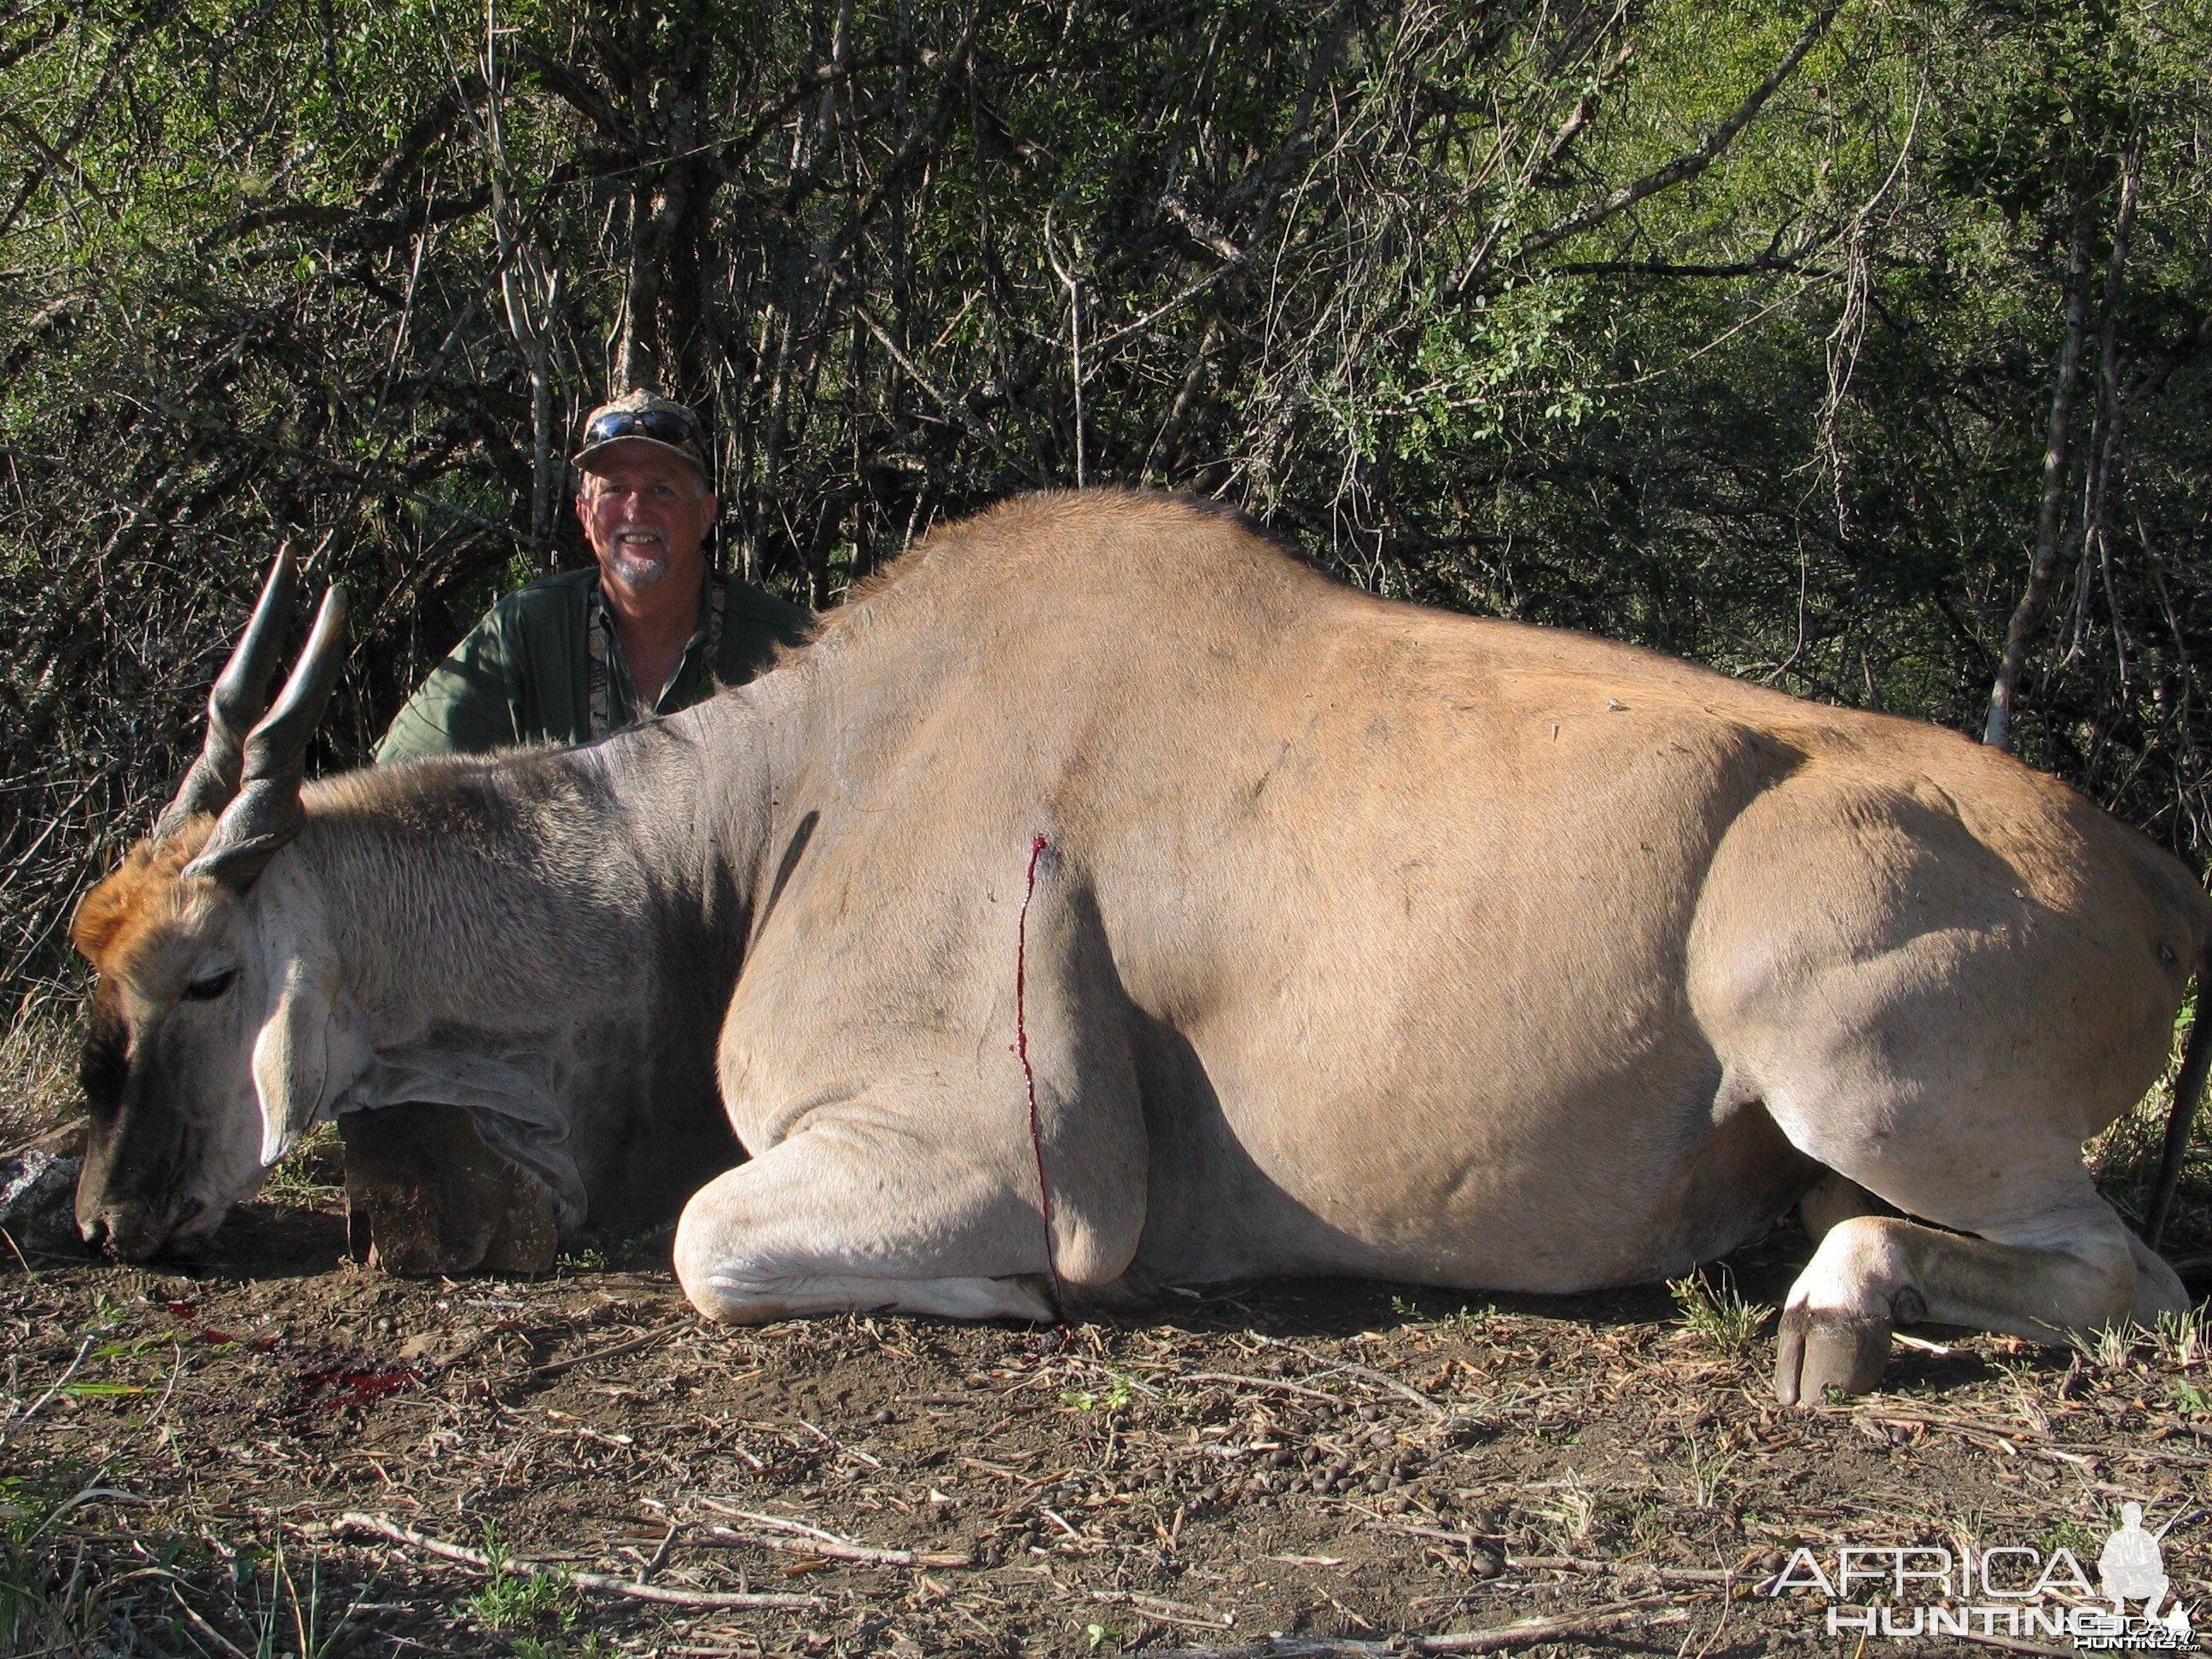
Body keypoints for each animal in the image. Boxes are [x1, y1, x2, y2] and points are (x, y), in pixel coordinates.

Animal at [69, 491, 2212, 1406]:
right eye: (94, 977)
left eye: (201, 975)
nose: (104, 1212)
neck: (764, 815)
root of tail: (2144, 868)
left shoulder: (963, 1151)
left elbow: (708, 1241)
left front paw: (1024, 1297)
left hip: (1843, 1058)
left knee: (2132, 1274)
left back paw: (1839, 1313)